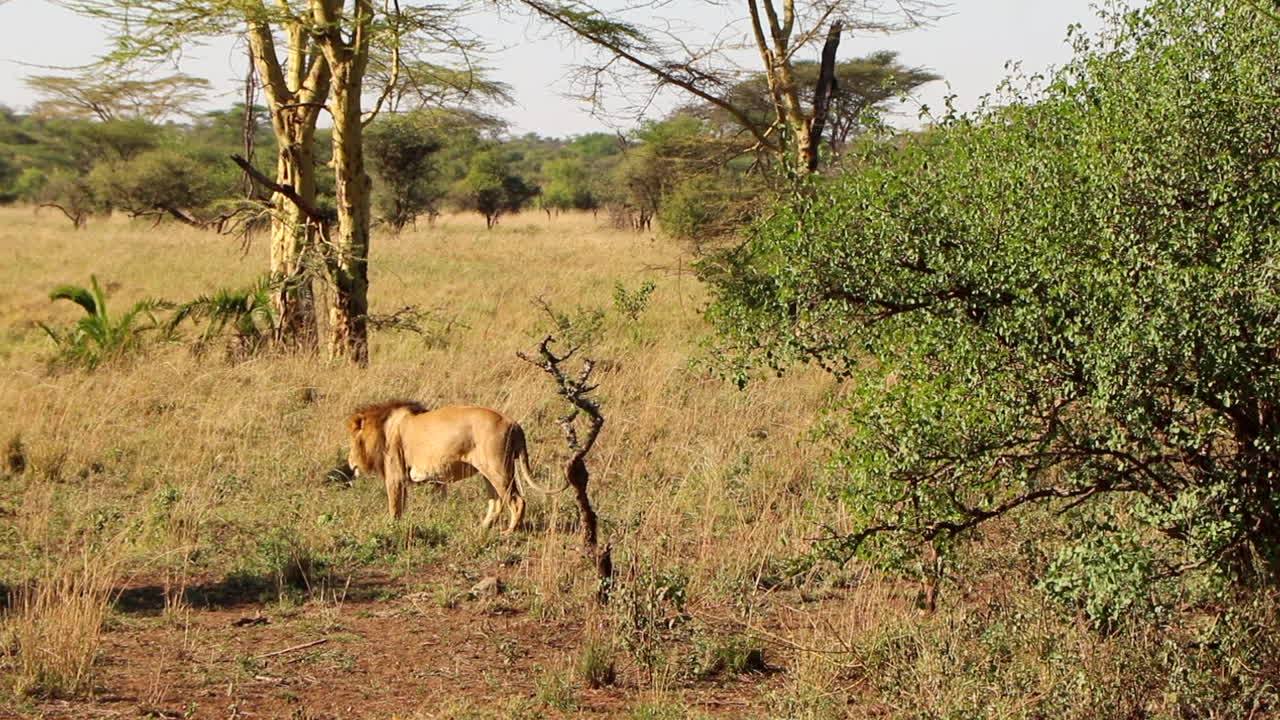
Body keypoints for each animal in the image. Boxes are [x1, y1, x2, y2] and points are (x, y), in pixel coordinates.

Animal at [345, 401, 546, 533]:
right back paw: (482, 528)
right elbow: (403, 505)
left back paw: (510, 531)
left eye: (352, 441)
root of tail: (513, 422)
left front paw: (392, 528)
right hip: (488, 471)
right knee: (496, 502)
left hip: (498, 469)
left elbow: (394, 506)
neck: (382, 429)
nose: (349, 463)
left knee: (517, 500)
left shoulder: (395, 477)